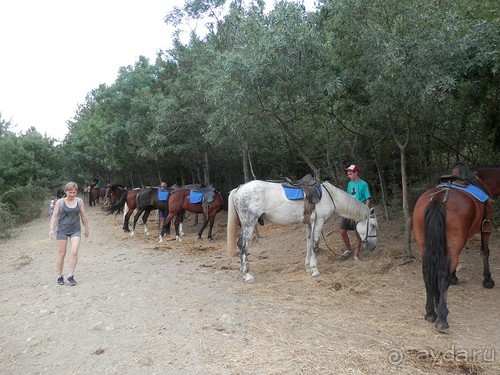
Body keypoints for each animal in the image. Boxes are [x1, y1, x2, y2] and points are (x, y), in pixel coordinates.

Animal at [412, 163, 498, 334]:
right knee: (442, 276)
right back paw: (442, 318)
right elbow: (485, 251)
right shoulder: (487, 227)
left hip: (424, 245)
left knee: (427, 272)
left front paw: (454, 277)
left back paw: (431, 312)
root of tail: (438, 199)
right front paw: (488, 279)